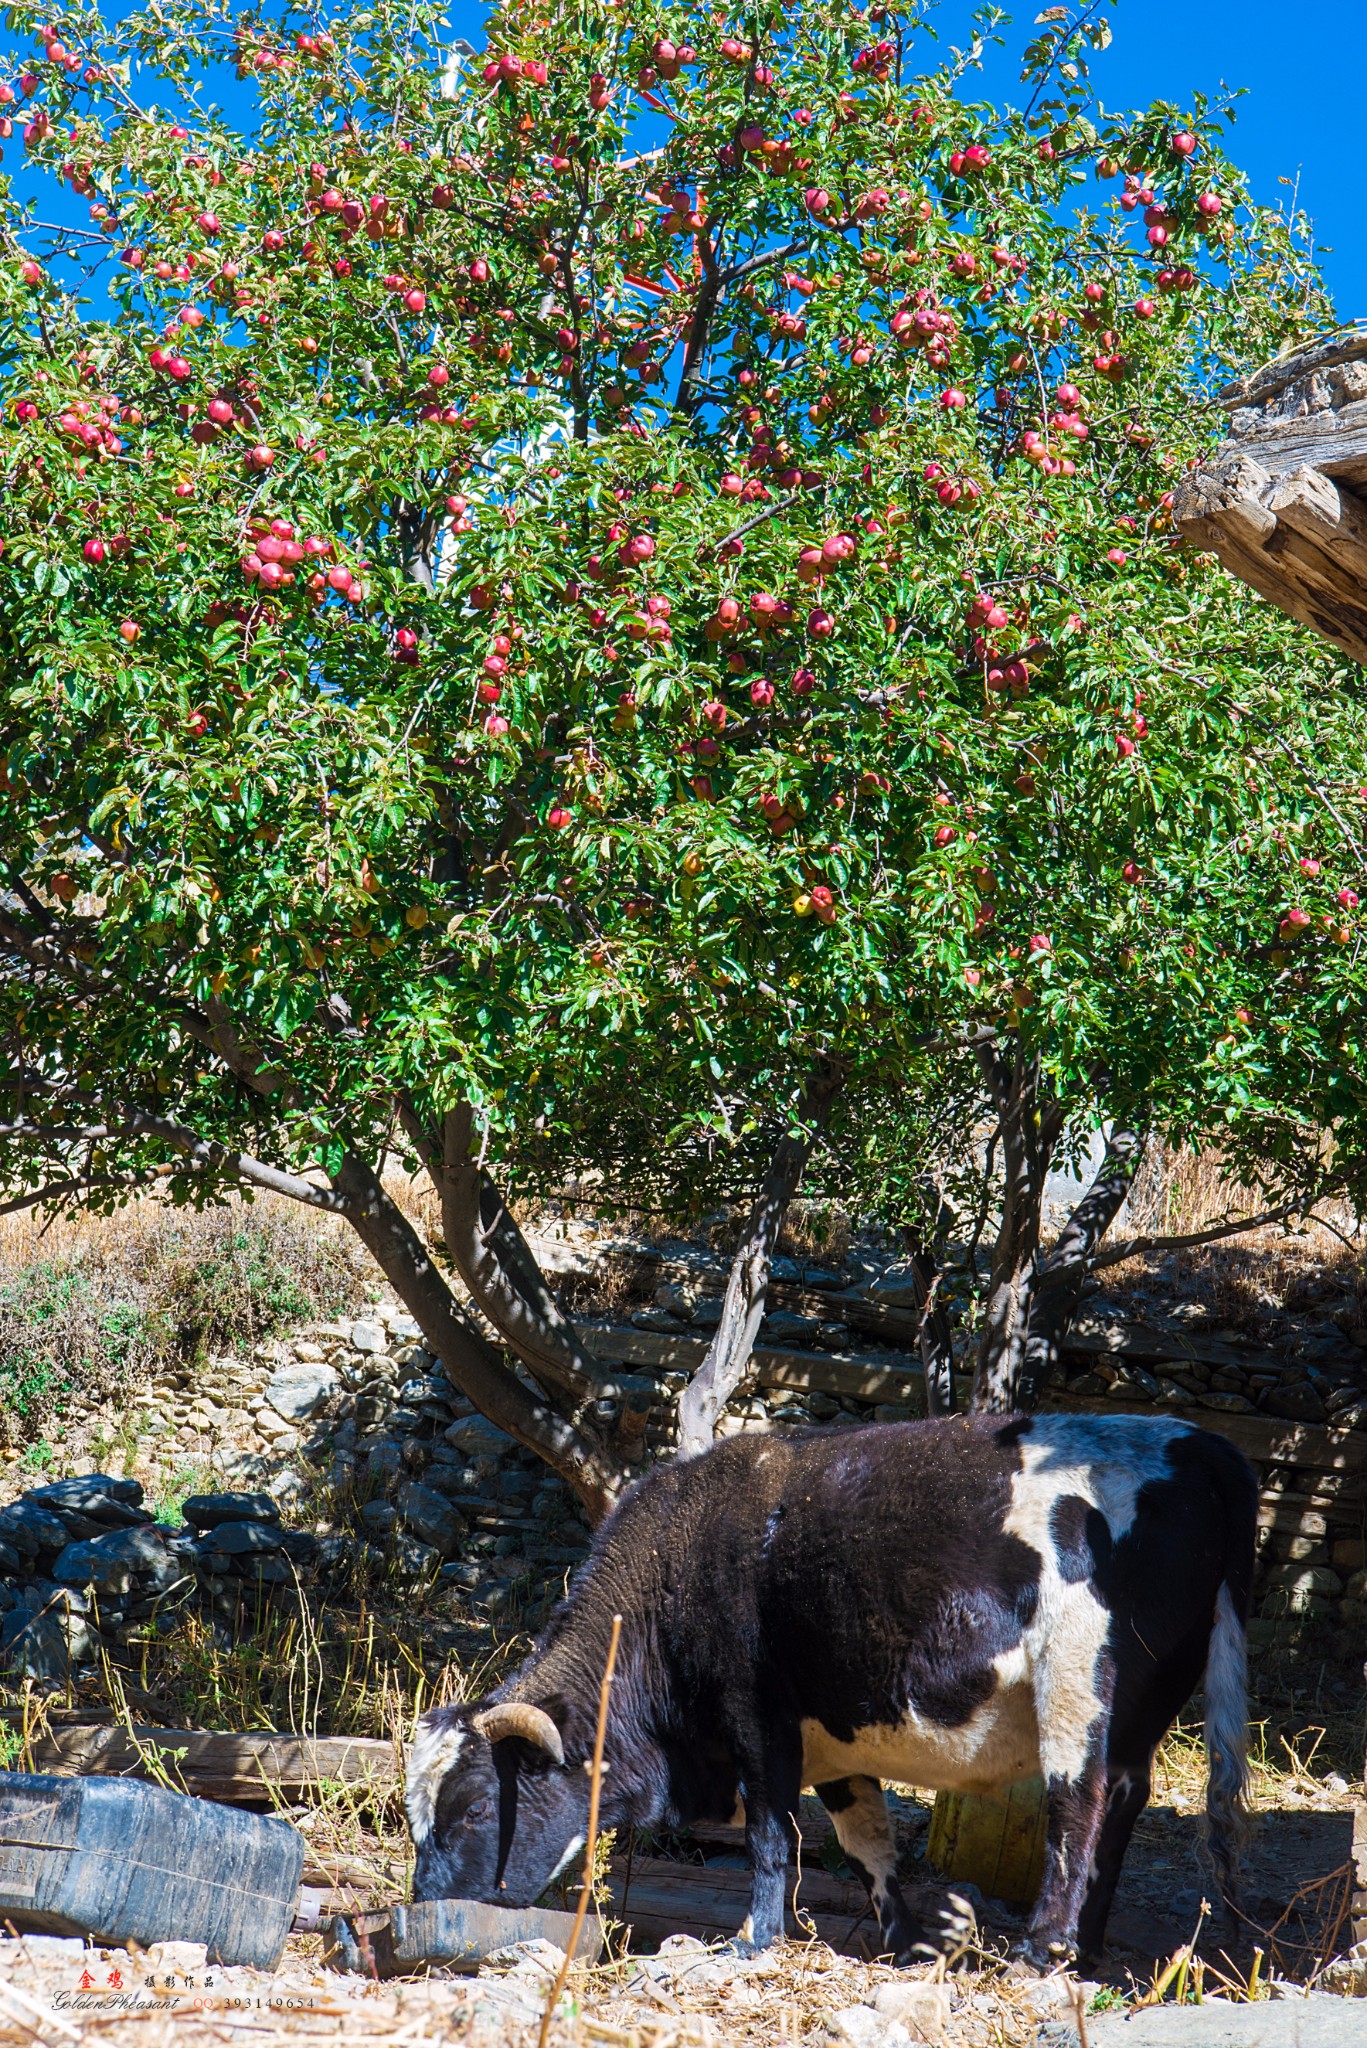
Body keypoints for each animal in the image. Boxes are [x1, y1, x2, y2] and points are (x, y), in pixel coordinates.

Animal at [409, 1409, 1262, 1966]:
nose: (425, 1901)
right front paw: (904, 1942)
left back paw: (1044, 1946)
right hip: (1143, 1704)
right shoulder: (834, 1740)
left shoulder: (757, 1723)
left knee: (1078, 1800)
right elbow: (865, 1842)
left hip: (1078, 1675)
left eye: (477, 1807)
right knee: (1122, 1797)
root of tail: (1200, 1442)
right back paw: (1082, 1947)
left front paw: (754, 1939)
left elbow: (770, 1838)